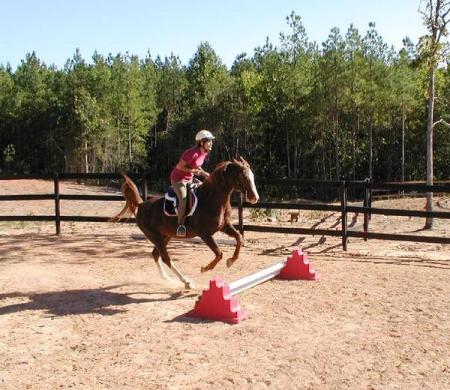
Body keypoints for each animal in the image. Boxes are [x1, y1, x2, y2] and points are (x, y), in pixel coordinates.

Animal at [109, 157, 262, 288]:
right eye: (243, 176)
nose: (255, 198)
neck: (213, 199)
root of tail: (140, 205)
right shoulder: (205, 234)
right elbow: (219, 253)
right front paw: (205, 269)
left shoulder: (224, 226)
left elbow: (239, 238)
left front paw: (231, 261)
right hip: (155, 236)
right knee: (165, 258)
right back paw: (186, 282)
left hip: (165, 236)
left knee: (155, 254)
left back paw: (167, 278)